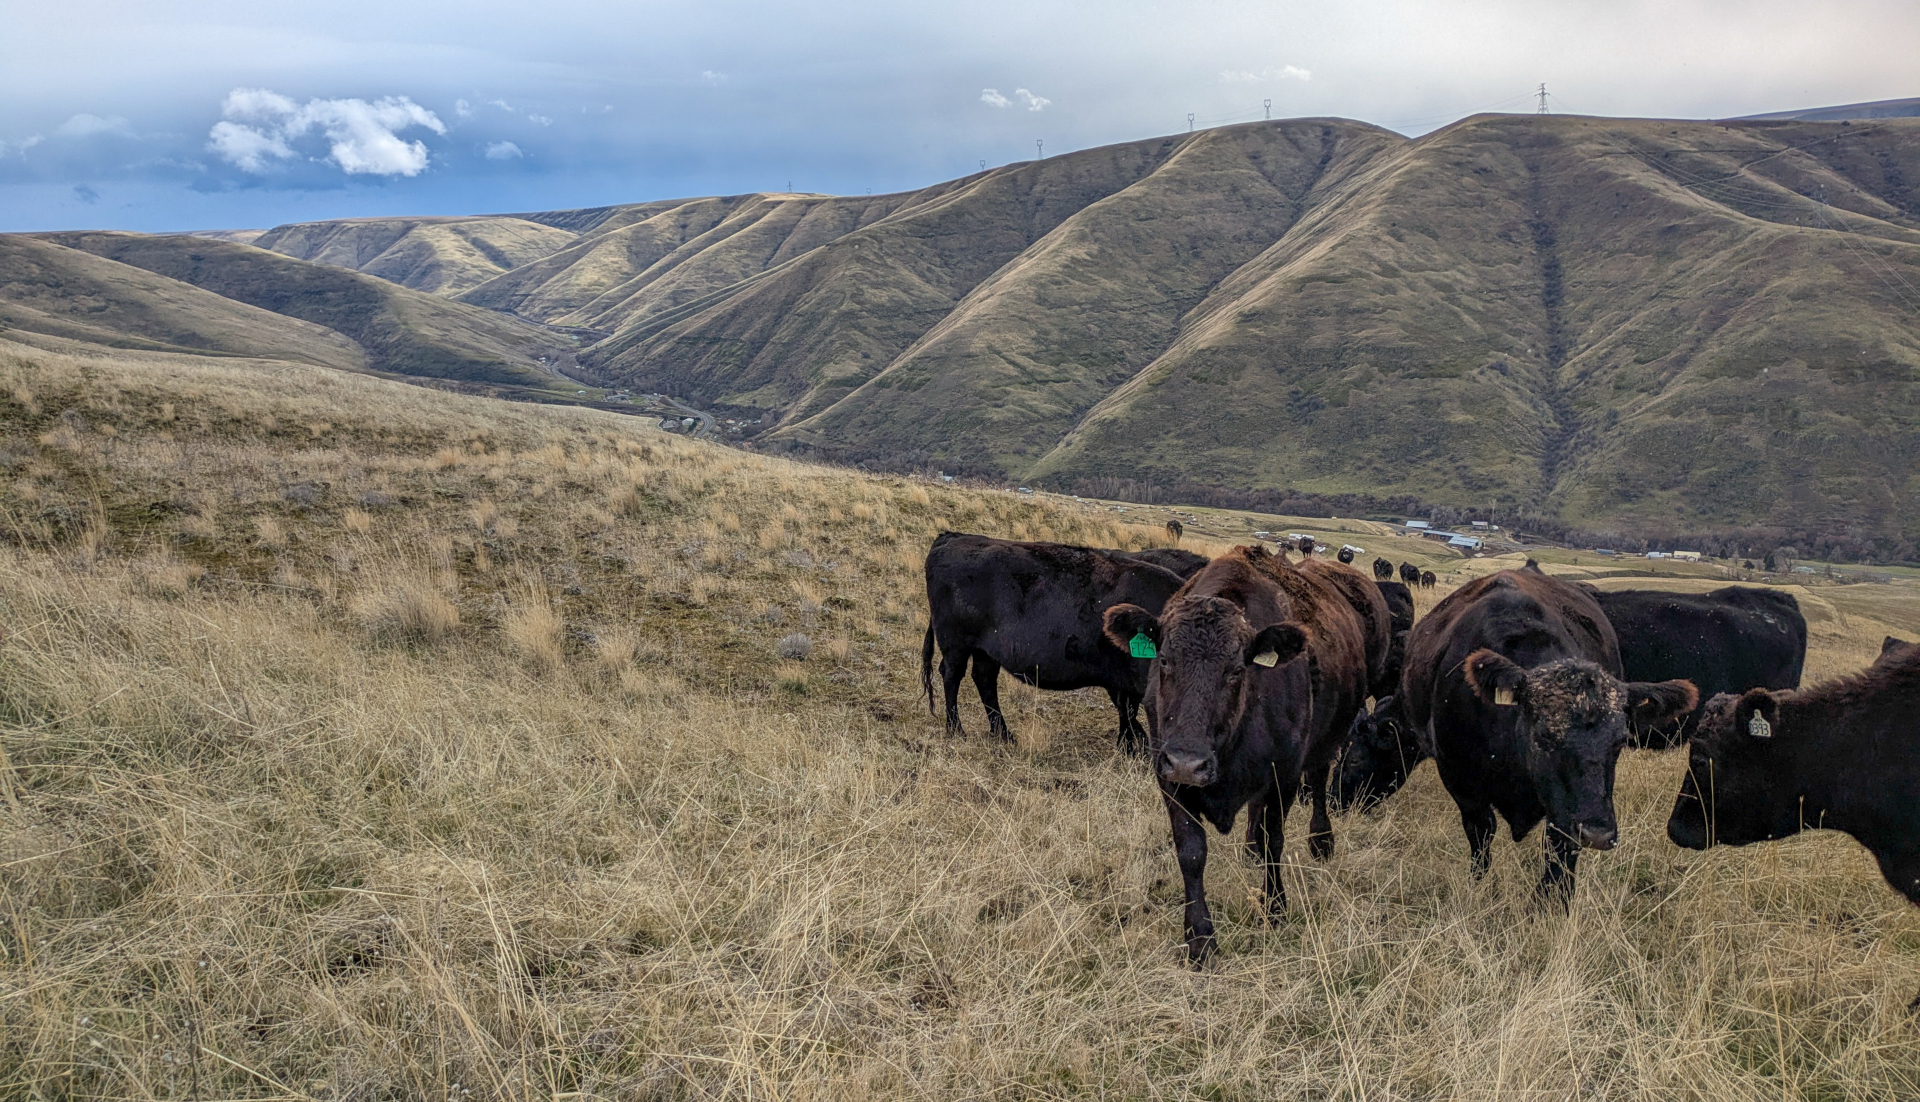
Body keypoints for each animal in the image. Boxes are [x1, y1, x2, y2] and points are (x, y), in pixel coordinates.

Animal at [921, 532, 1190, 753]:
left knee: (984, 680)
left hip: (985, 650)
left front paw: (1130, 747)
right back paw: (956, 730)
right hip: (955, 644)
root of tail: (952, 537)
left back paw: (1004, 735)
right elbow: (1130, 712)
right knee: (952, 676)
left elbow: (1127, 713)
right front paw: (1136, 749)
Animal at [1103, 545, 1379, 962]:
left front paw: (1275, 907)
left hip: (1326, 742)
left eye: (1235, 670)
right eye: (1164, 659)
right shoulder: (1167, 775)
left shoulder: (1284, 775)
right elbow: (1191, 851)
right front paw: (1199, 938)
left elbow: (1274, 840)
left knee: (1317, 783)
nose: (1189, 763)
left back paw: (1321, 840)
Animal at [1402, 564, 1697, 900]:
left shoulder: (1564, 816)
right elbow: (1481, 835)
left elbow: (1559, 854)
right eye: (1544, 734)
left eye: (1621, 740)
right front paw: (1479, 885)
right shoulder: (1461, 782)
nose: (1597, 833)